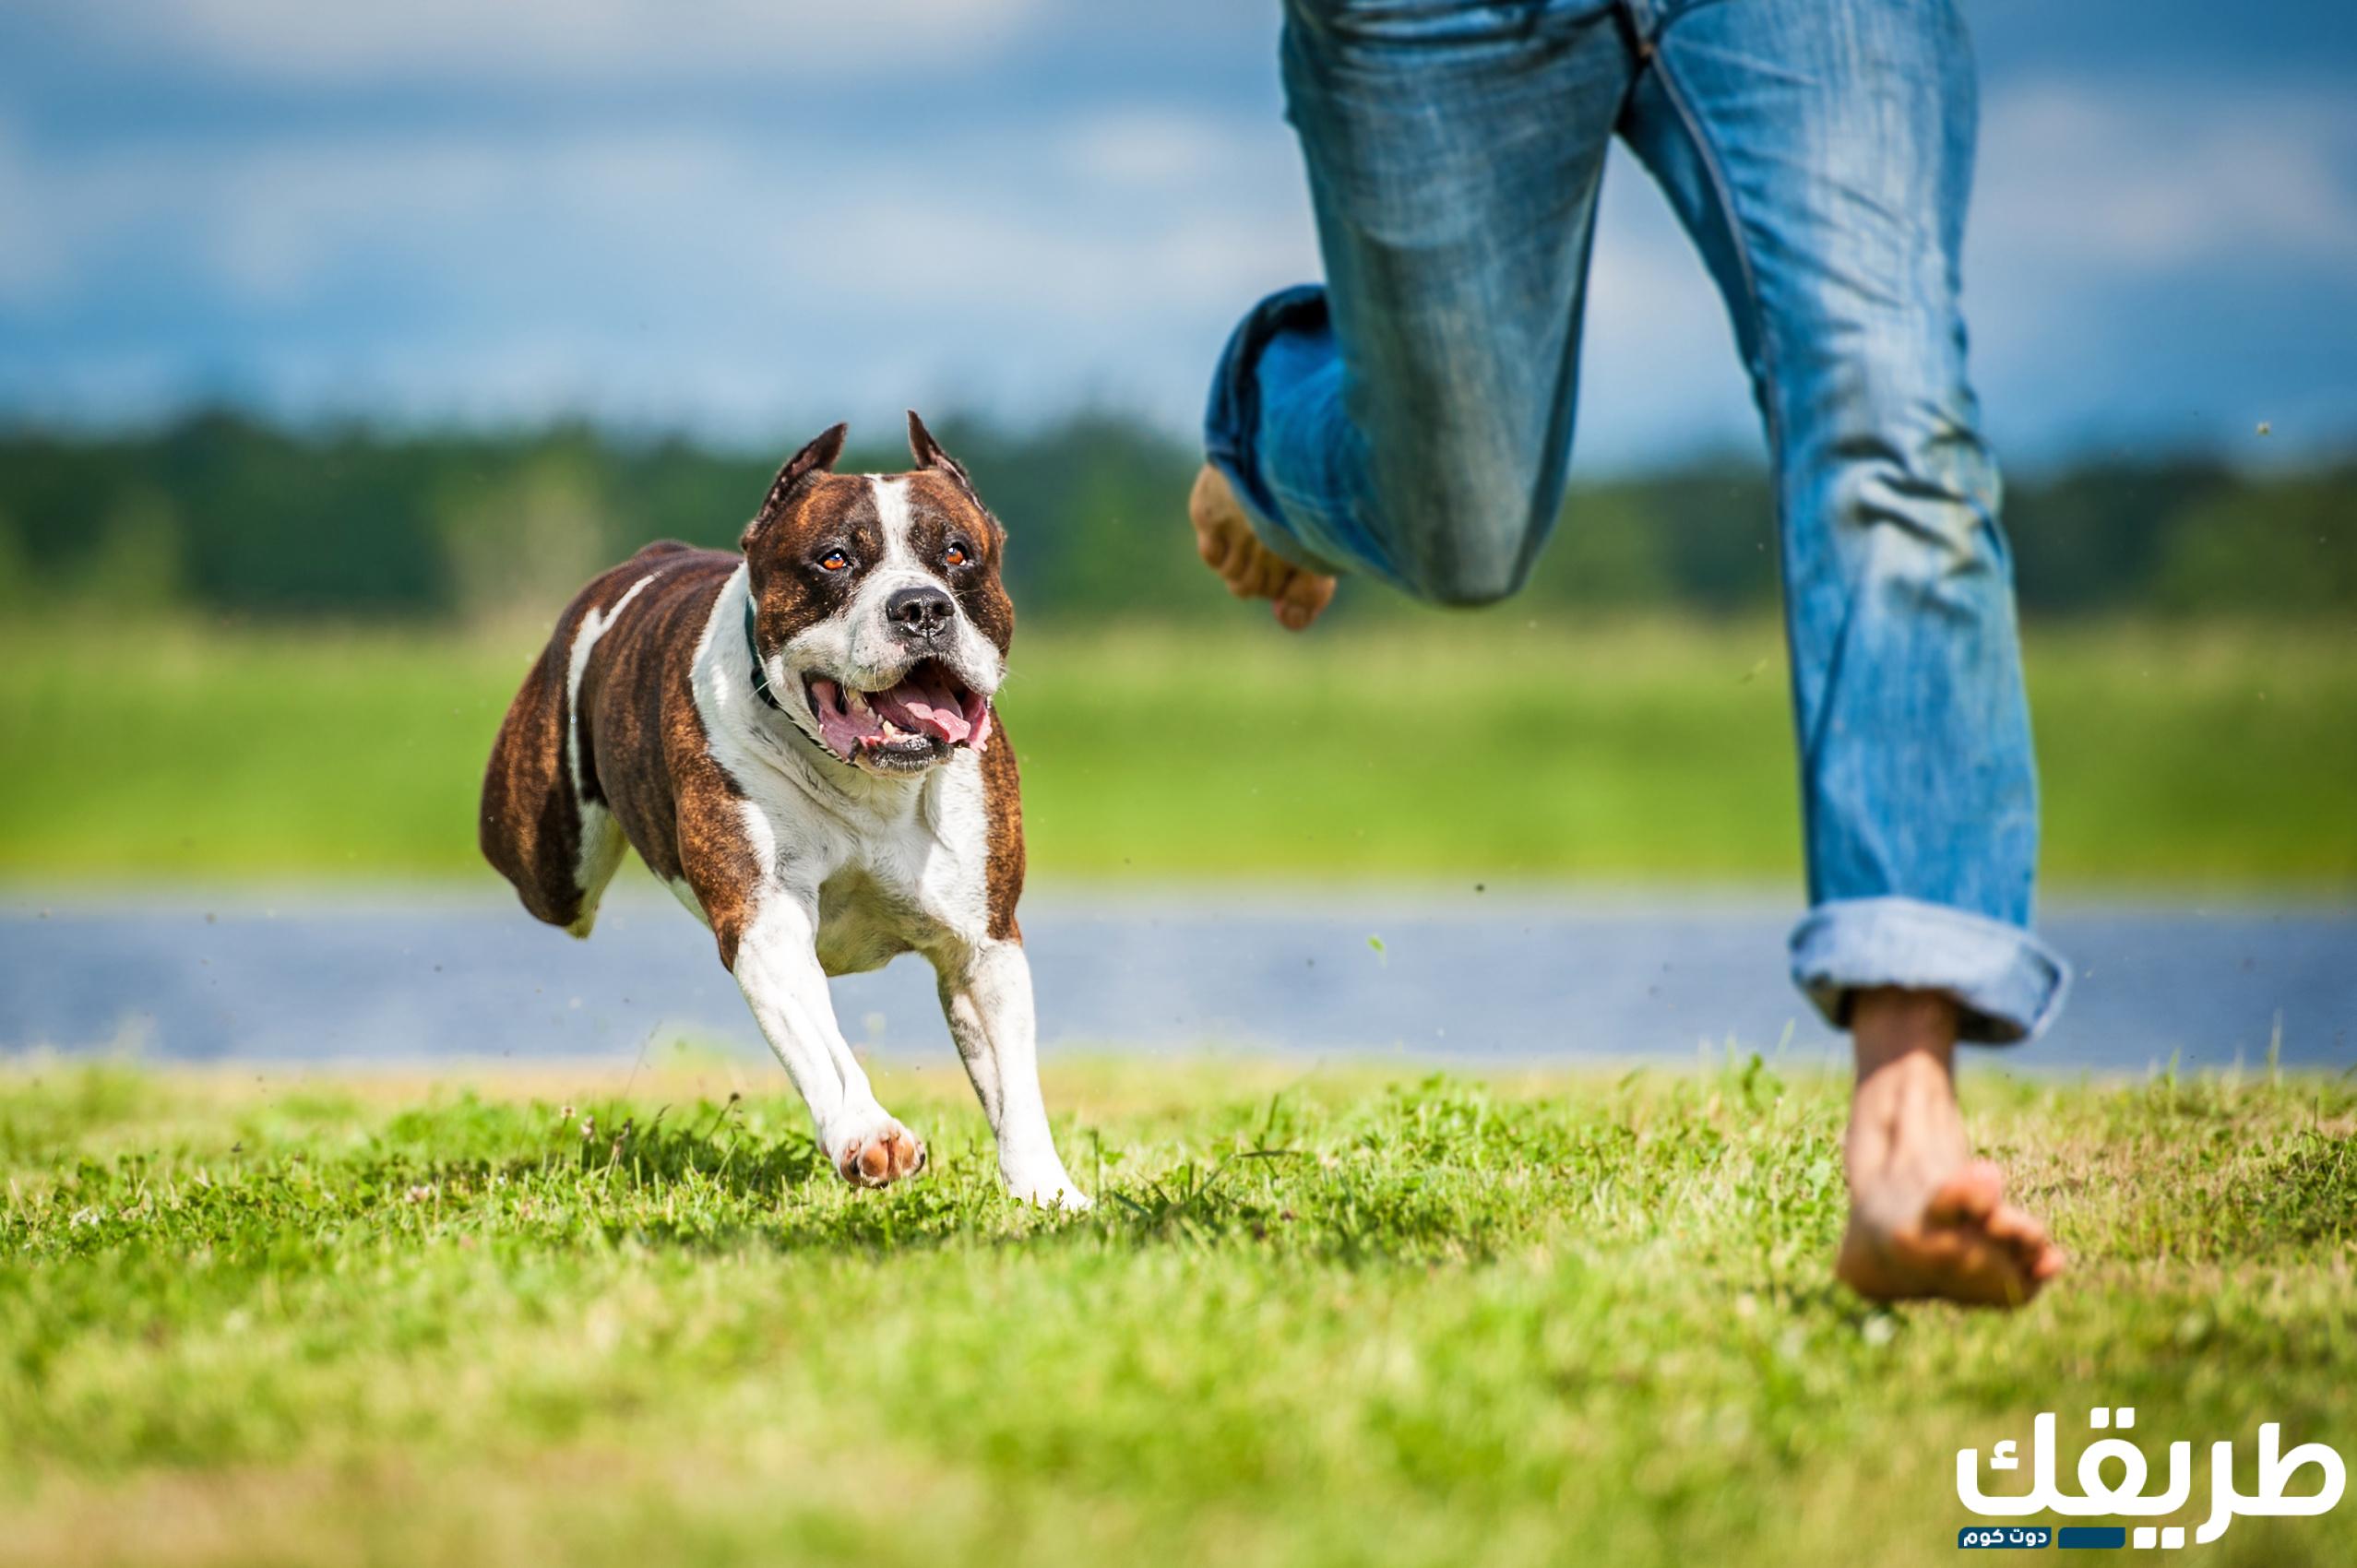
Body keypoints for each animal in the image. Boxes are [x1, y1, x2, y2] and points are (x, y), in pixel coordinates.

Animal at [487, 410, 1093, 1202]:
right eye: (834, 560)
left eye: (958, 554)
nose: (922, 606)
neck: (870, 785)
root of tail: (655, 555)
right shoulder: (766, 921)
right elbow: (824, 1048)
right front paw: (870, 1134)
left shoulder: (983, 943)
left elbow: (1014, 1083)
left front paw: (1047, 1193)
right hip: (551, 866)